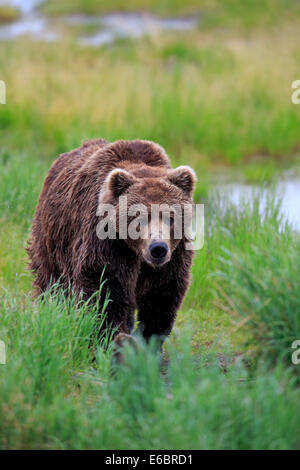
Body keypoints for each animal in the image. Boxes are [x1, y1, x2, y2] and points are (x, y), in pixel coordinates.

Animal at [27, 138, 197, 346]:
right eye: (139, 218)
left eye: (170, 217)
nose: (158, 248)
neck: (137, 253)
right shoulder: (107, 242)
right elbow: (106, 288)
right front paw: (115, 338)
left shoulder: (174, 255)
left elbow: (161, 296)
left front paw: (147, 342)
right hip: (52, 238)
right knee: (52, 282)